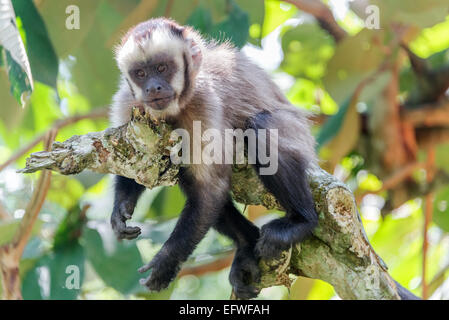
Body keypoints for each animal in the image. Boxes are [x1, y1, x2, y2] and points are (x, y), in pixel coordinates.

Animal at [108, 16, 316, 298]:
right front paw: (121, 208)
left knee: (261, 127)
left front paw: (167, 260)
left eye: (162, 68)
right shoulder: (129, 103)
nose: (152, 87)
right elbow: (133, 164)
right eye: (140, 73)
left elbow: (210, 189)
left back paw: (302, 221)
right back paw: (247, 243)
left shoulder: (204, 103)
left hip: (298, 133)